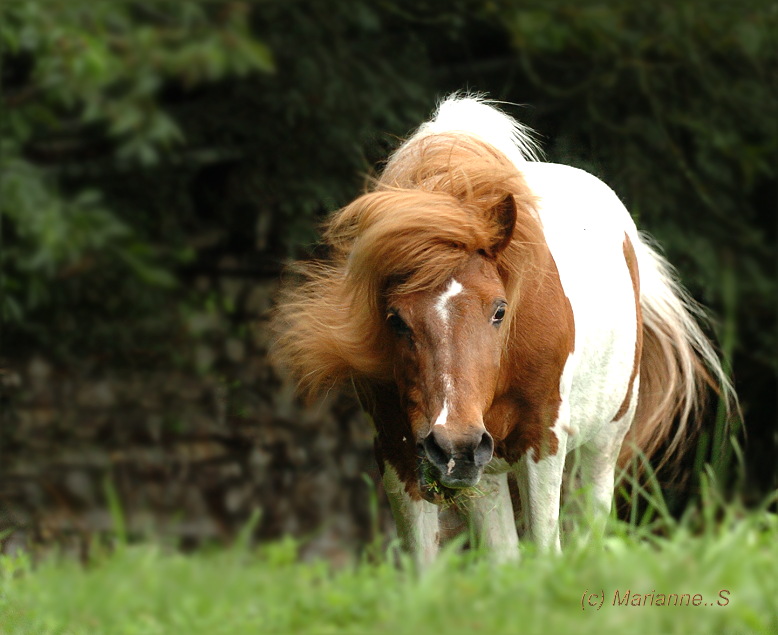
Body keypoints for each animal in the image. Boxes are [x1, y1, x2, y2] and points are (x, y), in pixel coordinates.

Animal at [272, 95, 732, 568]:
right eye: (395, 319)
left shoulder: (542, 440)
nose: (453, 446)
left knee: (587, 527)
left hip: (601, 444)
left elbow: (547, 550)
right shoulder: (397, 450)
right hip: (487, 469)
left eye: (499, 311)